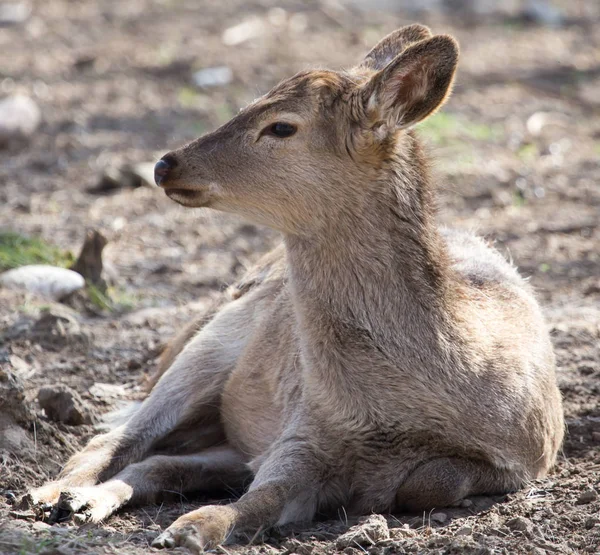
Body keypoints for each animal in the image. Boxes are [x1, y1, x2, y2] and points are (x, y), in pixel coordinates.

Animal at [24, 25, 564, 552]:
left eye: (281, 126)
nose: (164, 165)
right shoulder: (306, 428)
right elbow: (263, 495)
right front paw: (190, 529)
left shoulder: (529, 455)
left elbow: (432, 480)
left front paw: (189, 528)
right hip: (211, 343)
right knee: (119, 437)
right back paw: (54, 496)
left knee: (164, 461)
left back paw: (81, 502)